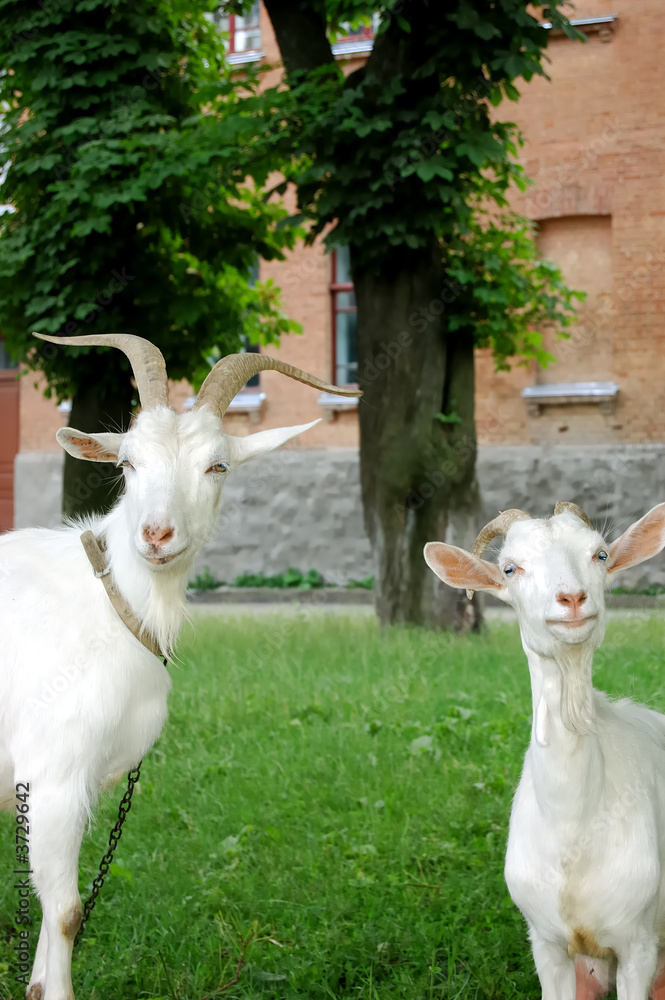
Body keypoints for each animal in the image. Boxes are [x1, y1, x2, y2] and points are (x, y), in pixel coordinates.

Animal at [0, 332, 360, 1000]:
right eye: (127, 464)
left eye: (217, 466)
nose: (156, 534)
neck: (112, 602)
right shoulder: (53, 775)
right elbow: (65, 912)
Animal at [424, 501, 665, 1000]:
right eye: (510, 568)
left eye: (600, 554)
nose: (572, 598)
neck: (576, 834)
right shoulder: (547, 943)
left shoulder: (638, 945)